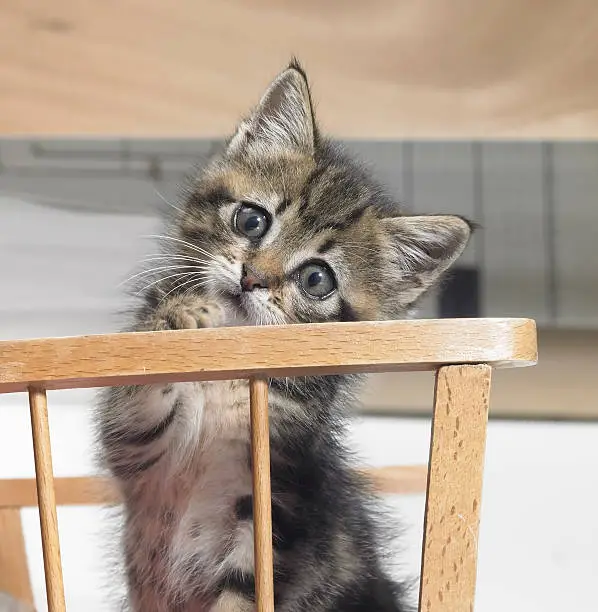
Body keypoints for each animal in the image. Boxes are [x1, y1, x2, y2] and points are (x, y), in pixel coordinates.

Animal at [97, 58, 474, 612]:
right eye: (252, 220)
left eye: (317, 279)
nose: (252, 277)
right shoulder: (138, 449)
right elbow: (139, 397)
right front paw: (180, 313)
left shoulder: (279, 513)